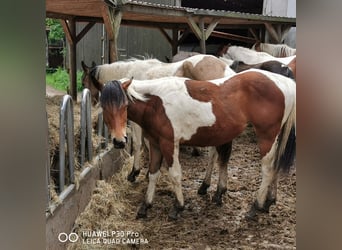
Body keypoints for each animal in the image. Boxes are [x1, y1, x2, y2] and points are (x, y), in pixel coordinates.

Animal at [97, 68, 296, 219]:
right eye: (104, 107)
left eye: (124, 106)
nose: (119, 141)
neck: (154, 103)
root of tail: (286, 82)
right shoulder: (155, 144)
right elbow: (153, 174)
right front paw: (145, 206)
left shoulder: (169, 144)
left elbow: (175, 174)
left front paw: (178, 206)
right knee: (275, 165)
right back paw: (269, 201)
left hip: (267, 137)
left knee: (268, 169)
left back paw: (256, 206)